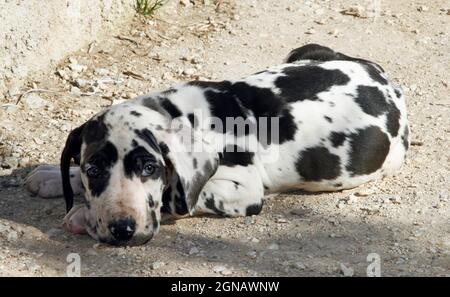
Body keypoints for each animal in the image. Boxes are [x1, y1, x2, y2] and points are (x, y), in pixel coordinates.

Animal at [26, 44, 410, 245]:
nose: (122, 230)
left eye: (150, 167)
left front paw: (82, 214)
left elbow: (179, 197)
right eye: (93, 168)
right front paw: (54, 175)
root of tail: (381, 75)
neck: (181, 113)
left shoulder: (243, 189)